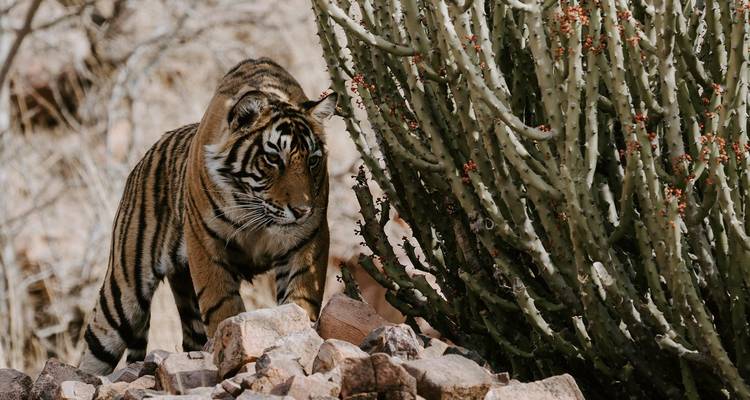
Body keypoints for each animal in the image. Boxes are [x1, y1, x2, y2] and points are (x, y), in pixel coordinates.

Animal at [79, 58, 338, 374]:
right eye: (273, 158)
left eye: (313, 161)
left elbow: (301, 301)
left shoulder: (309, 240)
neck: (256, 212)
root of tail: (142, 160)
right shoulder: (206, 244)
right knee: (94, 350)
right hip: (123, 292)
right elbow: (223, 307)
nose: (302, 210)